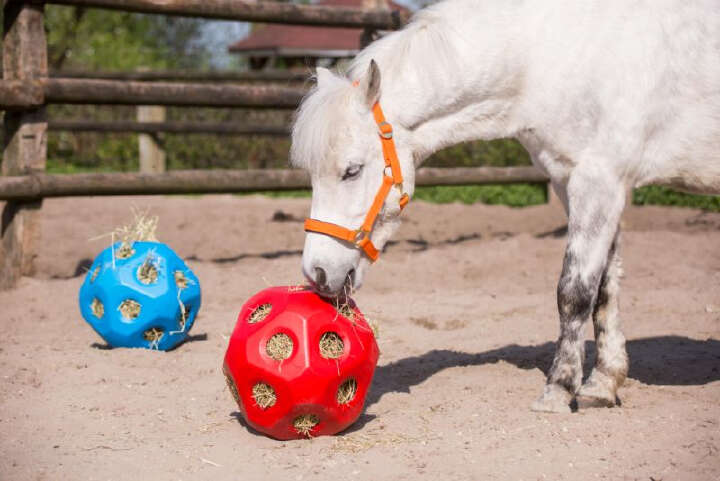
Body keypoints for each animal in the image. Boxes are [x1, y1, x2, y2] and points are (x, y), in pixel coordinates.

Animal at [290, 0, 720, 413]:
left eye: (352, 170)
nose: (317, 272)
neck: (550, 56)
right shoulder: (579, 185)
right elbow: (605, 289)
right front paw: (602, 385)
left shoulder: (599, 182)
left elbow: (575, 291)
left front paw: (558, 390)